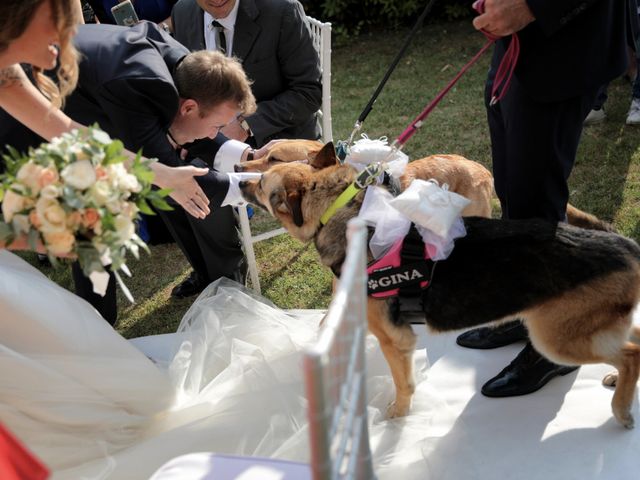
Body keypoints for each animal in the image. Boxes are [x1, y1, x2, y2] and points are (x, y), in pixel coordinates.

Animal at [239, 142, 640, 428]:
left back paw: (620, 409)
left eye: (264, 178)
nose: (239, 176)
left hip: (555, 338)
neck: (336, 210)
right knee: (634, 341)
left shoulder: (394, 339)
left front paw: (397, 415)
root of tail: (623, 244)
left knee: (630, 354)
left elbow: (403, 384)